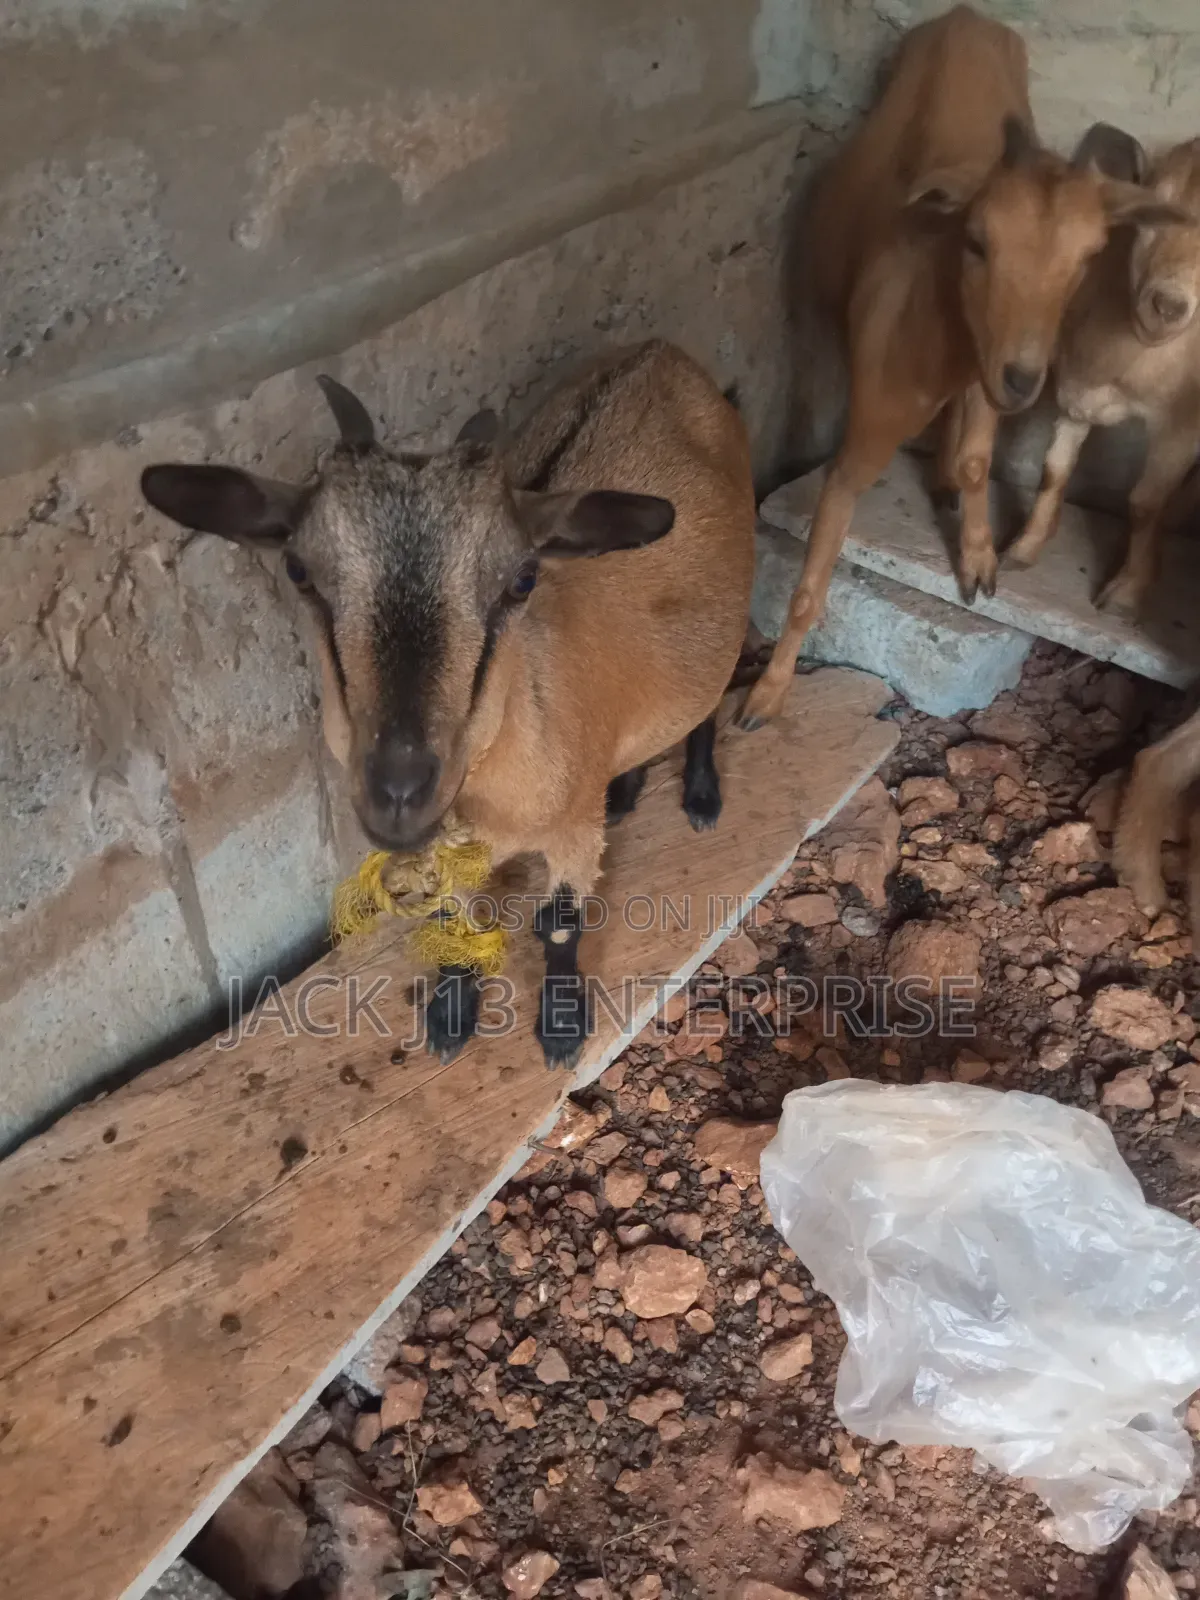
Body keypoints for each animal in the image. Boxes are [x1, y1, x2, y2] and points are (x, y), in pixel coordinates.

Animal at [140, 339, 756, 1068]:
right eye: (298, 570)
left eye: (522, 580)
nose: (399, 791)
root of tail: (665, 353)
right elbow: (452, 915)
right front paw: (450, 1015)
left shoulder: (571, 829)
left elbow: (559, 924)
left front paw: (561, 1029)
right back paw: (627, 787)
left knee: (714, 690)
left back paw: (701, 794)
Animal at [1005, 133, 1200, 617]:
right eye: (1148, 216)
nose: (1168, 304)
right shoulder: (1075, 392)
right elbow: (1054, 471)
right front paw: (1023, 548)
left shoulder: (1182, 426)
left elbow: (1145, 503)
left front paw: (1128, 591)